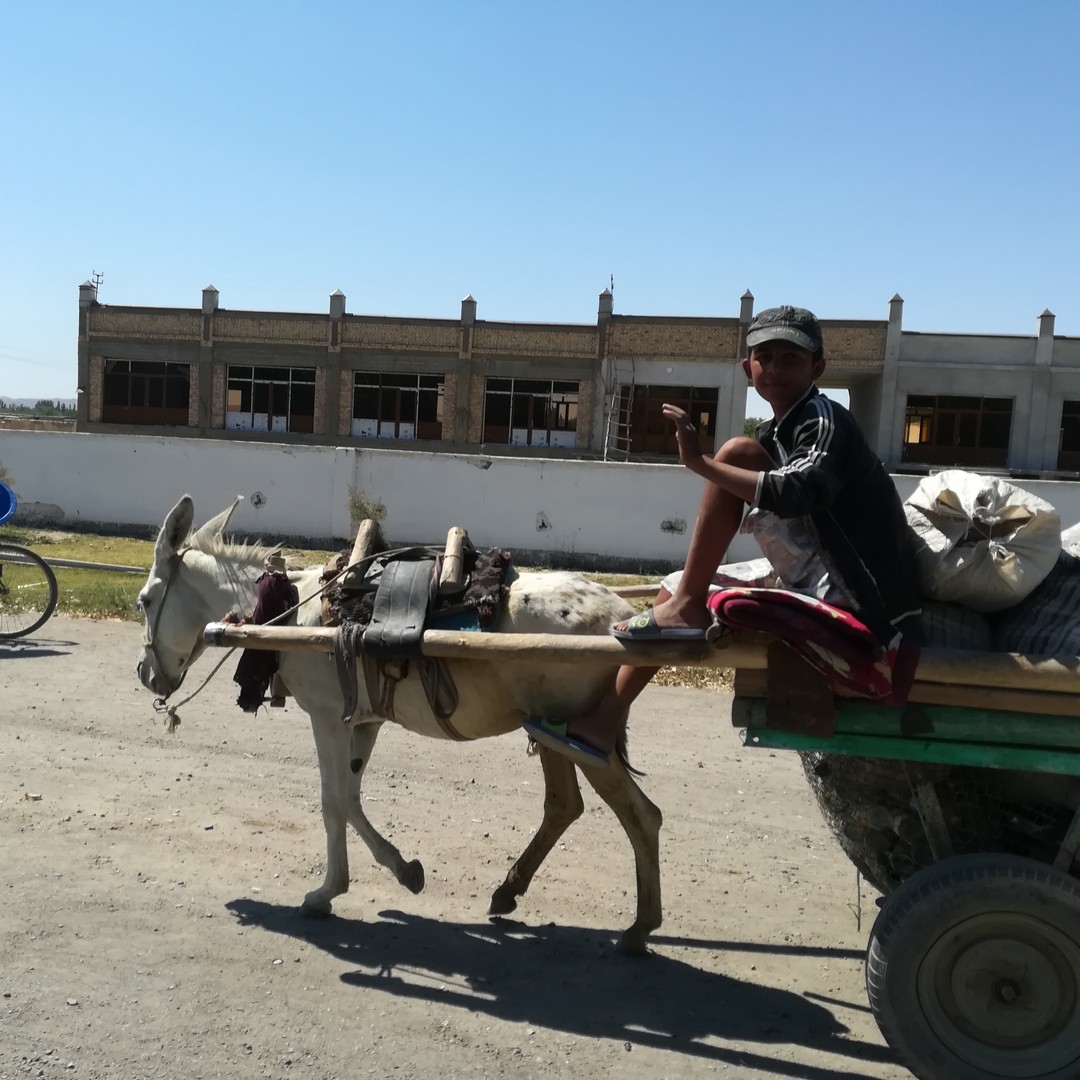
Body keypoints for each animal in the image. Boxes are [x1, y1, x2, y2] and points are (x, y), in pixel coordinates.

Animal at [135, 495, 663, 953]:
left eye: (144, 600)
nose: (145, 675)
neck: (289, 611)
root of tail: (624, 615)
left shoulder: (328, 718)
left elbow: (332, 803)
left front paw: (326, 894)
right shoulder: (363, 721)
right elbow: (351, 799)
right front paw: (404, 871)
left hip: (584, 741)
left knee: (642, 816)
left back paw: (640, 929)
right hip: (550, 734)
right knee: (564, 806)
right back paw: (509, 891)